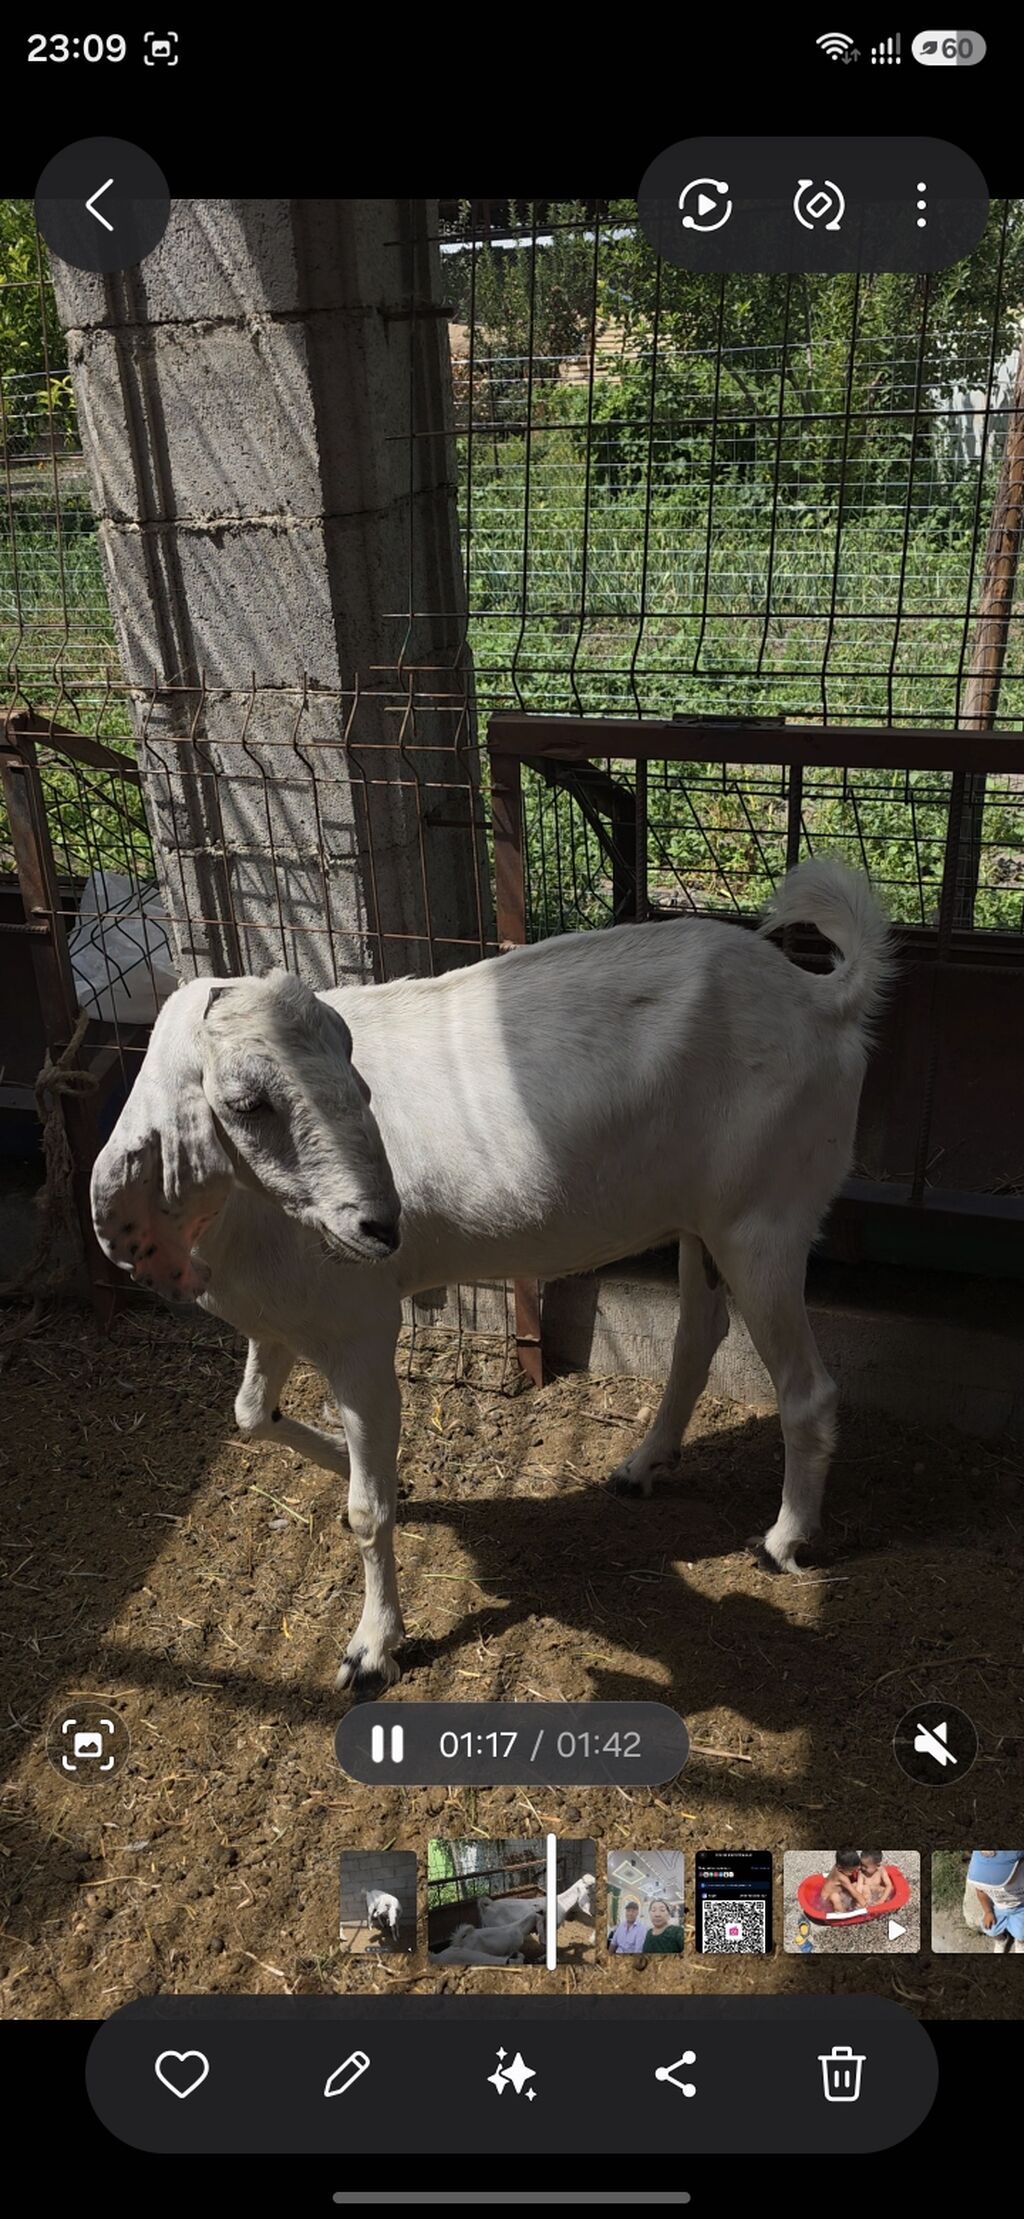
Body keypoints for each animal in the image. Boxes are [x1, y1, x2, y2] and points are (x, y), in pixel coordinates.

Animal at [91, 858, 890, 1695]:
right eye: (245, 1102)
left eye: (351, 1063)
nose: (380, 1225)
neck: (241, 1216)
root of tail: (823, 998)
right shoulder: (278, 1319)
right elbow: (251, 1415)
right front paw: (371, 1470)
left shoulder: (359, 1330)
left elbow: (366, 1511)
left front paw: (373, 1645)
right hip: (705, 1220)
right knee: (697, 1335)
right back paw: (644, 1464)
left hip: (764, 1217)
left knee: (806, 1388)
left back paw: (783, 1539)